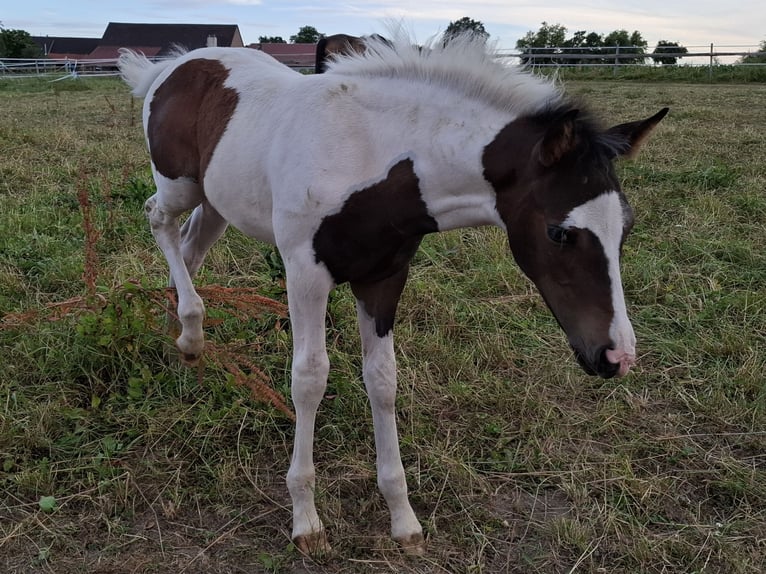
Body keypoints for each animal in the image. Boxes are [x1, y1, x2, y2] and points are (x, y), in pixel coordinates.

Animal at [118, 34, 667, 555]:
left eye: (626, 226)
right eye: (558, 232)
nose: (616, 356)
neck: (371, 157)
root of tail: (172, 65)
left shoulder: (385, 278)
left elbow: (383, 380)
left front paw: (403, 520)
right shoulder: (304, 273)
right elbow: (309, 379)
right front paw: (306, 520)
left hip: (217, 200)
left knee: (190, 246)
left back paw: (181, 336)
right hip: (181, 185)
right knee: (158, 219)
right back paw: (189, 327)